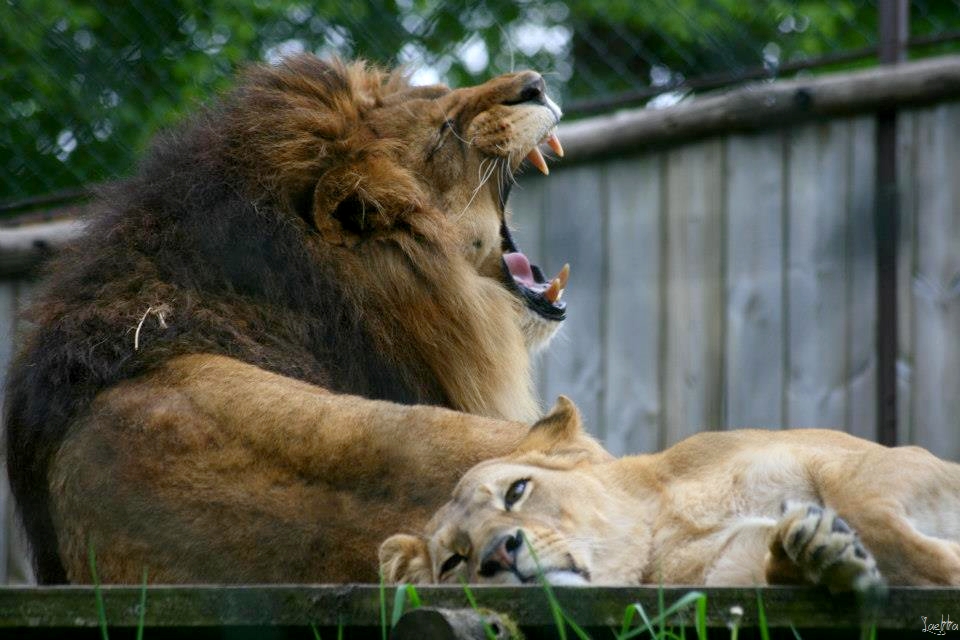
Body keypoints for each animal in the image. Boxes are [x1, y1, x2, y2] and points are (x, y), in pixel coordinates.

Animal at [382, 400, 960, 592]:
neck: (666, 523)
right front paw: (823, 556)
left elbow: (872, 515)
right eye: (454, 561)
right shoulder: (730, 574)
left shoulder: (869, 461)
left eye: (516, 491)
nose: (498, 555)